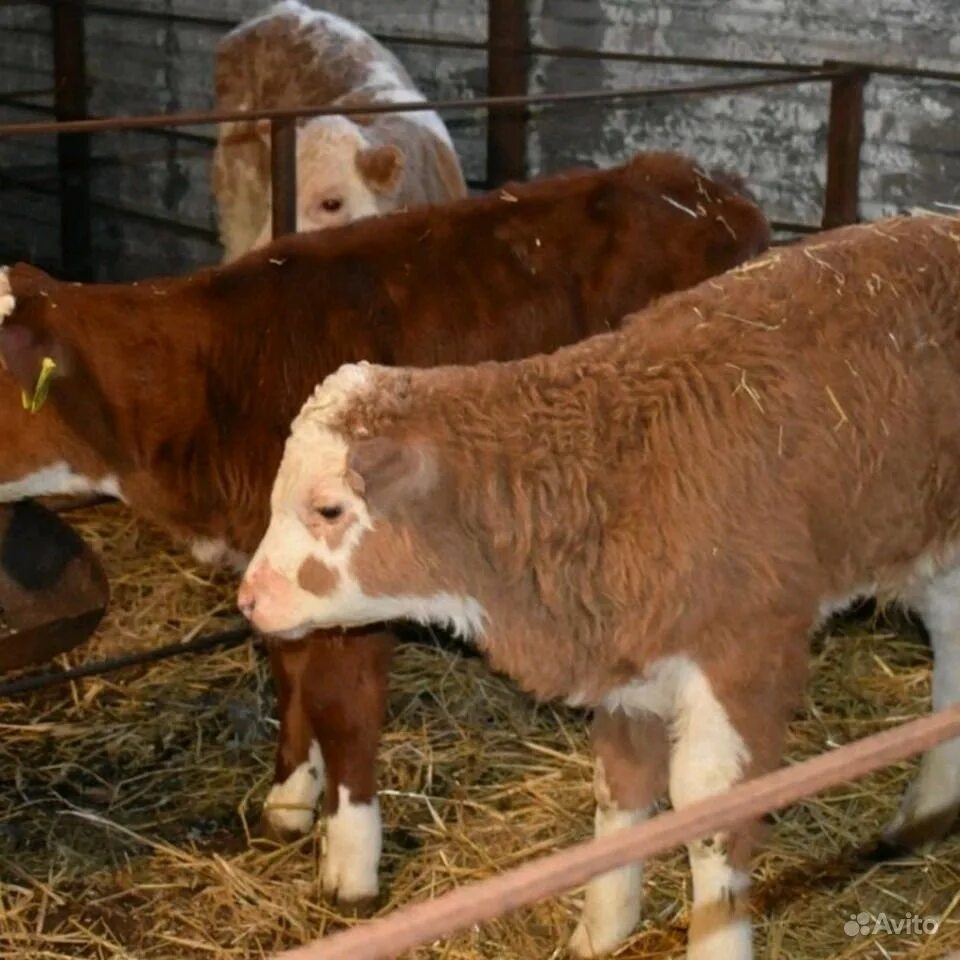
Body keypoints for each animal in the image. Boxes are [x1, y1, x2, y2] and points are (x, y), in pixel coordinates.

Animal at [0, 150, 768, 908]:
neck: (213, 379)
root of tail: (704, 186)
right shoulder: (277, 572)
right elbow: (290, 680)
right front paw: (289, 802)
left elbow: (341, 708)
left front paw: (350, 864)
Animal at [236, 216, 960, 960]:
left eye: (328, 509)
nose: (248, 598)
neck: (615, 468)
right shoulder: (627, 660)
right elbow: (621, 788)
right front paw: (603, 927)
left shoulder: (747, 651)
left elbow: (708, 811)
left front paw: (716, 936)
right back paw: (929, 810)